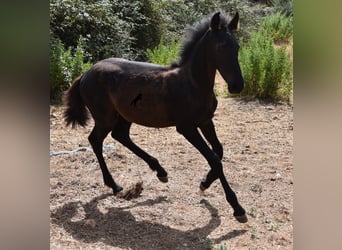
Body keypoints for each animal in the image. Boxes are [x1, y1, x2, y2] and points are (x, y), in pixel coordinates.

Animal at [63, 11, 246, 223]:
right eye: (220, 47)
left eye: (237, 47)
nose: (237, 86)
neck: (193, 84)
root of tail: (85, 74)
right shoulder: (186, 127)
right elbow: (214, 158)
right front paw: (237, 208)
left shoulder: (205, 121)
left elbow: (218, 151)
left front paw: (205, 183)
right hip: (105, 117)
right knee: (95, 139)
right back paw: (115, 185)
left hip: (125, 115)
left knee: (120, 135)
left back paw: (160, 171)